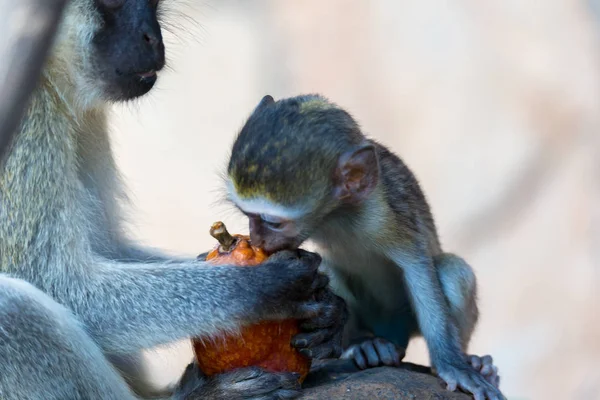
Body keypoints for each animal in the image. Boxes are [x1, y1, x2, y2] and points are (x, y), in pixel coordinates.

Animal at [0, 1, 344, 398]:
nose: (152, 36)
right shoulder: (26, 118)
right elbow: (59, 283)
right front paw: (264, 287)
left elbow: (105, 249)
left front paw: (332, 303)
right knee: (13, 311)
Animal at [225, 94, 506, 400]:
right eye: (247, 214)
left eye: (272, 222)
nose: (257, 240)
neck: (339, 212)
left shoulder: (386, 216)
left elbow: (418, 269)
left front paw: (453, 365)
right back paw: (363, 343)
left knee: (454, 271)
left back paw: (474, 363)